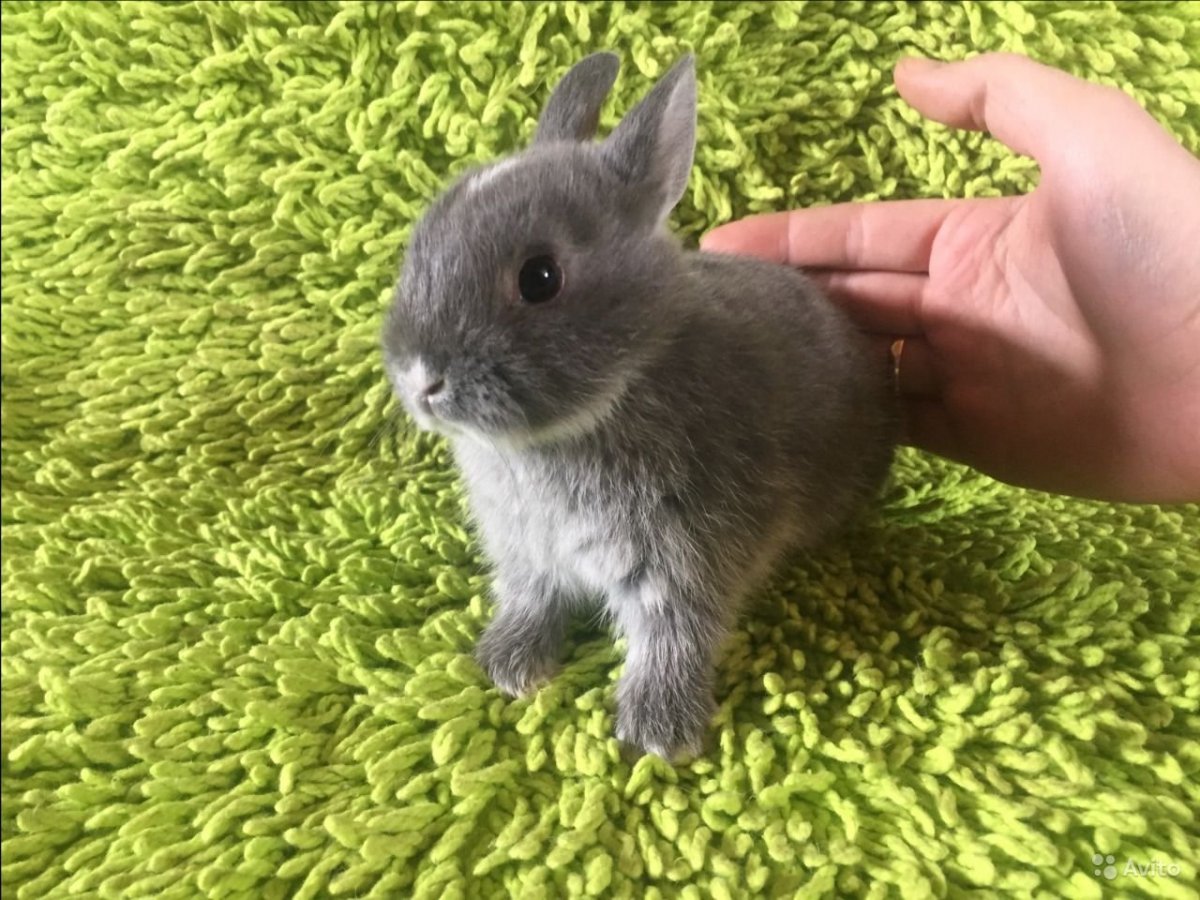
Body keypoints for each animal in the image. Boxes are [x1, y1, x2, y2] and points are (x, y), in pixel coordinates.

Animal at [381, 51, 899, 762]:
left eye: (540, 278)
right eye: (419, 244)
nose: (420, 380)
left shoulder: (690, 555)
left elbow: (674, 632)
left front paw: (657, 730)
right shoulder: (529, 552)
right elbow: (530, 598)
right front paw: (509, 664)